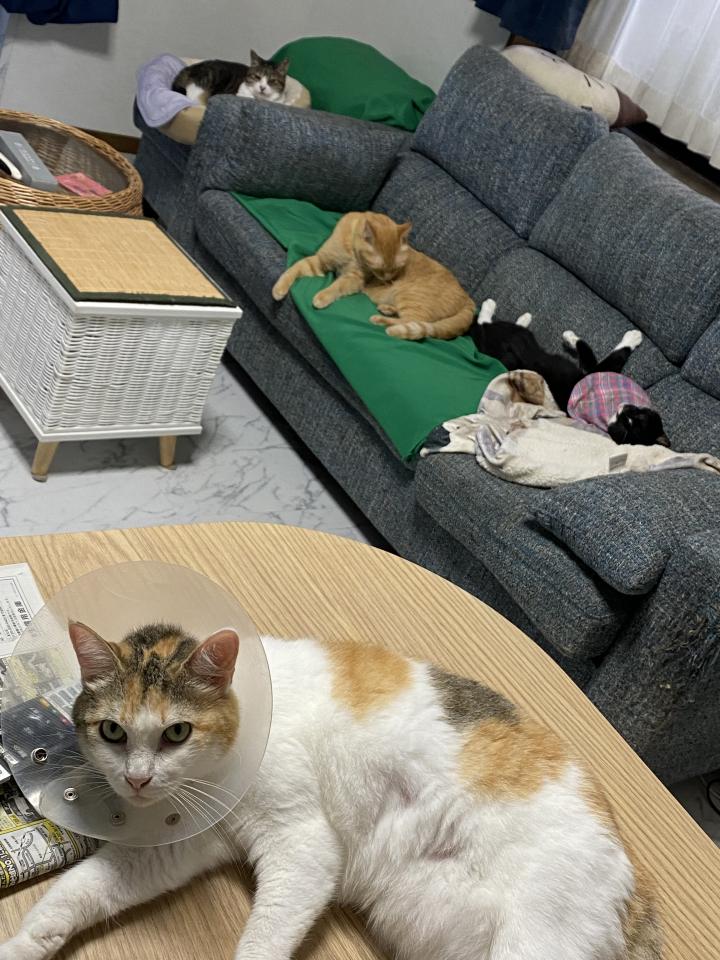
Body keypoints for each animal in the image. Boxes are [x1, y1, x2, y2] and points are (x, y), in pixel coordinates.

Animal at [0, 620, 662, 960]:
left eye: (176, 732)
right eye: (112, 731)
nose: (136, 780)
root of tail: (635, 891)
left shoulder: (303, 846)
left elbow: (263, 940)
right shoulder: (182, 844)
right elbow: (79, 890)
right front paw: (26, 942)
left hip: (537, 941)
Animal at [272, 211, 476, 340]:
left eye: (396, 268)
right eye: (380, 268)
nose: (388, 280)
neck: (351, 252)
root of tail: (469, 300)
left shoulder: (354, 279)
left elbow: (336, 286)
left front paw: (322, 296)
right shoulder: (319, 262)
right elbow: (293, 268)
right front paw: (279, 289)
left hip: (409, 295)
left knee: (414, 321)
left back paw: (381, 320)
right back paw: (387, 309)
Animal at [470, 299, 669, 446]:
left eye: (626, 426)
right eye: (638, 414)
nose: (625, 410)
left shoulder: (593, 371)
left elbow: (612, 354)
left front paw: (633, 337)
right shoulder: (593, 371)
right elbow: (589, 350)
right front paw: (570, 337)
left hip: (495, 347)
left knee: (481, 328)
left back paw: (498, 310)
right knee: (486, 326)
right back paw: (516, 315)